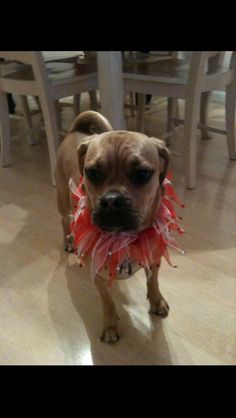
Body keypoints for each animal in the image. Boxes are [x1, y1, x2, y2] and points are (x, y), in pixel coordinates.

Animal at [55, 111, 170, 342]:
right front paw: (110, 325)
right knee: (64, 221)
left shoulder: (153, 259)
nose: (111, 200)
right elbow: (107, 301)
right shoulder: (98, 276)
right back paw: (68, 241)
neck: (123, 239)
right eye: (92, 173)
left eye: (142, 174)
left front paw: (157, 301)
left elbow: (153, 282)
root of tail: (75, 130)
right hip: (62, 199)